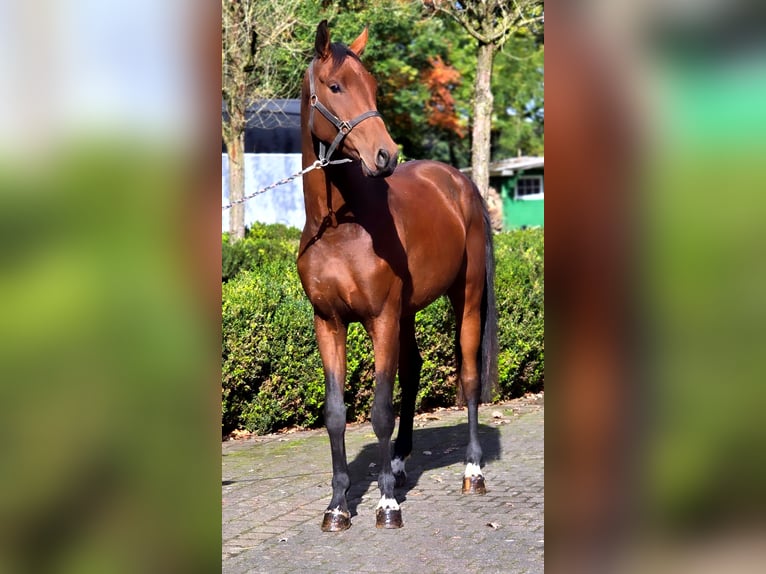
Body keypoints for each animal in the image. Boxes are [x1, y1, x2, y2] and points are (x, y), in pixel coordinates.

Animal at [297, 20, 498, 531]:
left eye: (373, 87)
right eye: (335, 86)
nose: (385, 155)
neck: (339, 227)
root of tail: (459, 182)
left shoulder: (380, 318)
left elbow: (380, 410)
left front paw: (386, 504)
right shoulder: (329, 323)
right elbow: (335, 413)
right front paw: (337, 507)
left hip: (465, 298)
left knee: (468, 376)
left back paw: (472, 471)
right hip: (407, 312)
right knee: (414, 369)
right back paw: (402, 464)